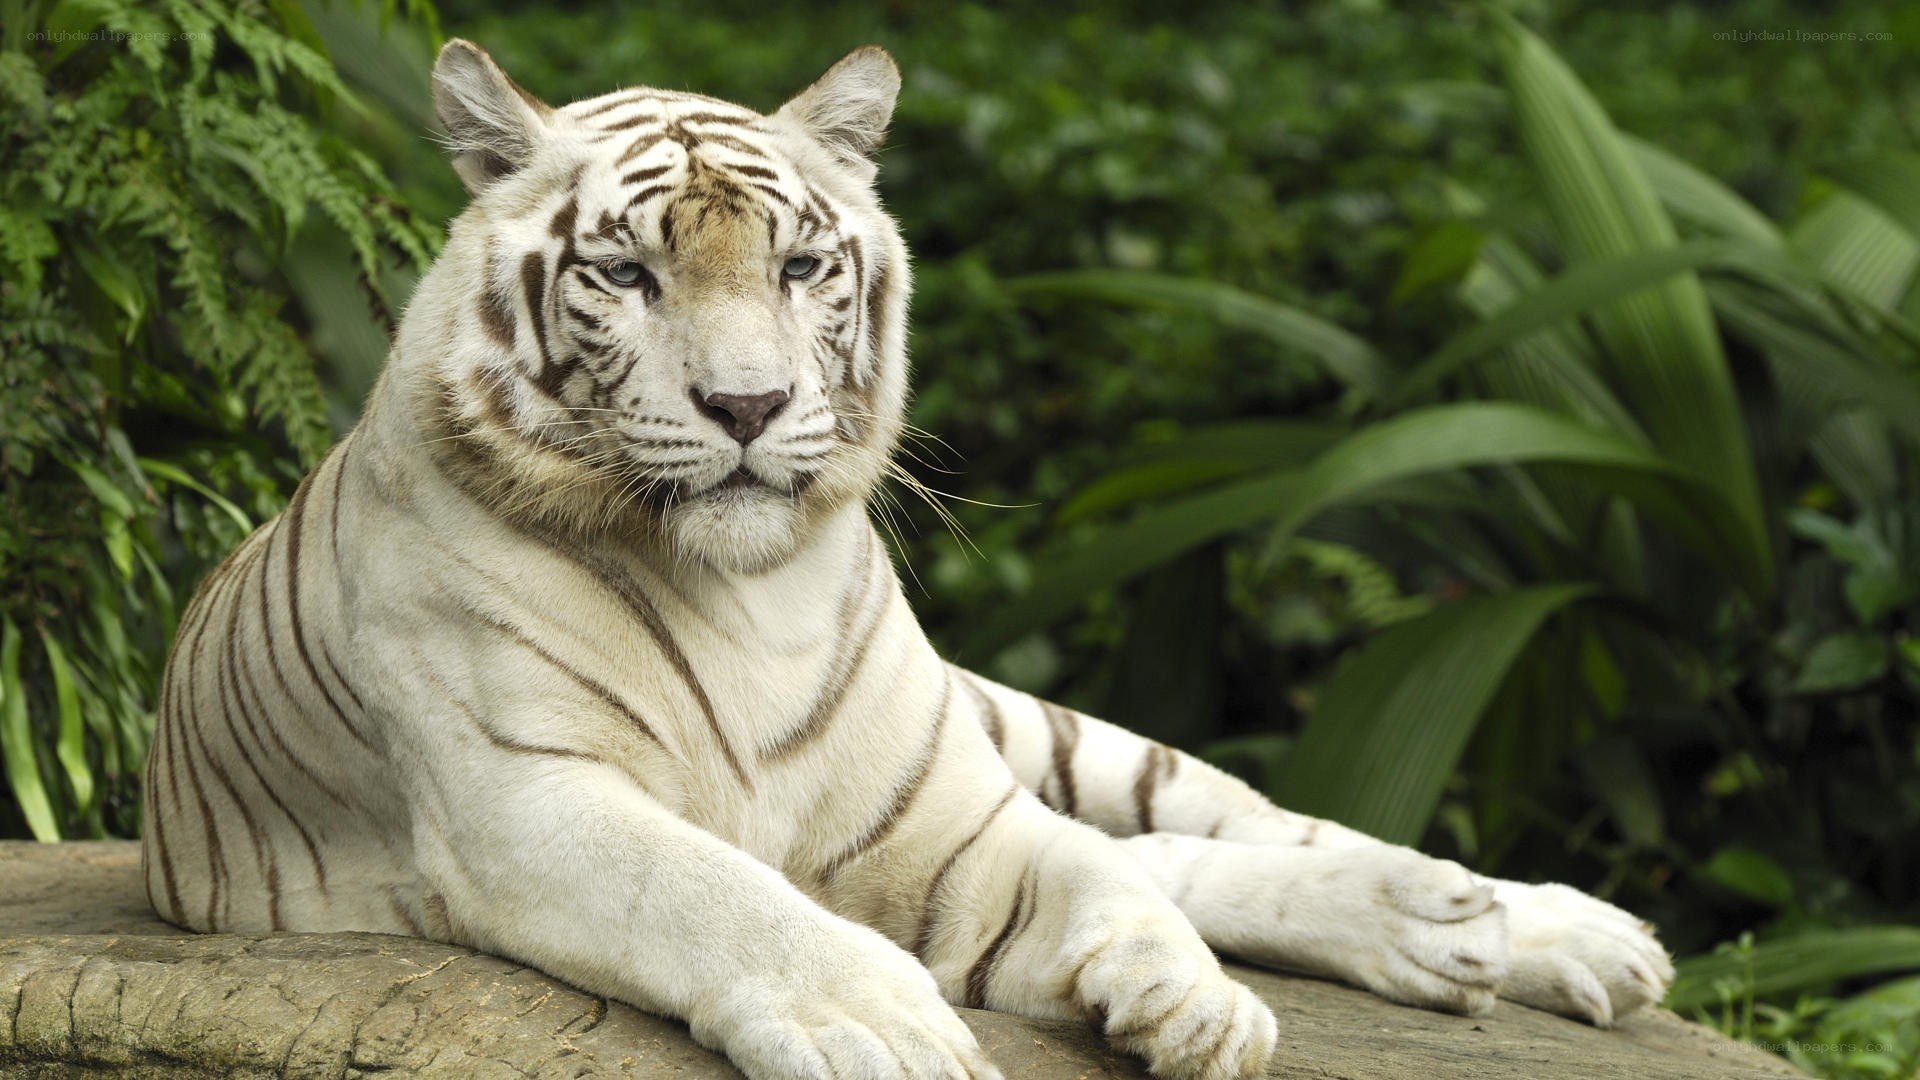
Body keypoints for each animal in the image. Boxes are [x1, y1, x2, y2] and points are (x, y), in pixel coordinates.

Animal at [141, 40, 1675, 1080]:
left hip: (1025, 729)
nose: (749, 405)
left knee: (1217, 823)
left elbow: (1103, 879)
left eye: (800, 268)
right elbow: (717, 892)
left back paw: (1508, 922)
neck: (745, 593)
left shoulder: (952, 818)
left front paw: (1193, 1003)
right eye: (628, 275)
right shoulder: (524, 803)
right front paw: (887, 1025)